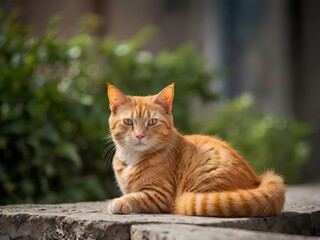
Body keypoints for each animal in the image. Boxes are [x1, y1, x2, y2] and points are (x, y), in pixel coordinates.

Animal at [107, 83, 284, 217]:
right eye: (128, 122)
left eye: (152, 122)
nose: (139, 135)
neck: (131, 158)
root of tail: (257, 178)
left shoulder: (160, 194)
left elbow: (135, 196)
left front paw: (118, 202)